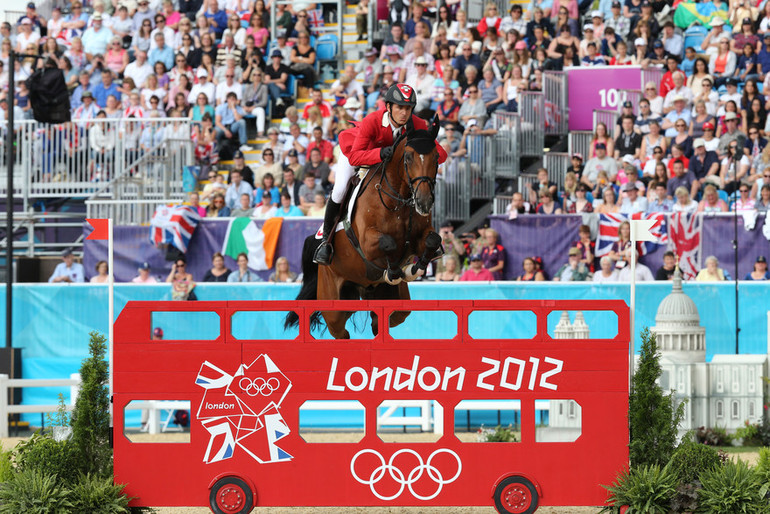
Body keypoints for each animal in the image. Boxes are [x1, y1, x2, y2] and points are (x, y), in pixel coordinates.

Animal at [286, 119, 444, 336]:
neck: (398, 201)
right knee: (341, 331)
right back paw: (324, 252)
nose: (424, 202)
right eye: (408, 157)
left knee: (380, 322)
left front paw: (416, 268)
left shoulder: (419, 238)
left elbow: (432, 240)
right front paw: (395, 272)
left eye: (436, 157)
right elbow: (388, 243)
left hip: (391, 302)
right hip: (333, 306)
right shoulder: (368, 243)